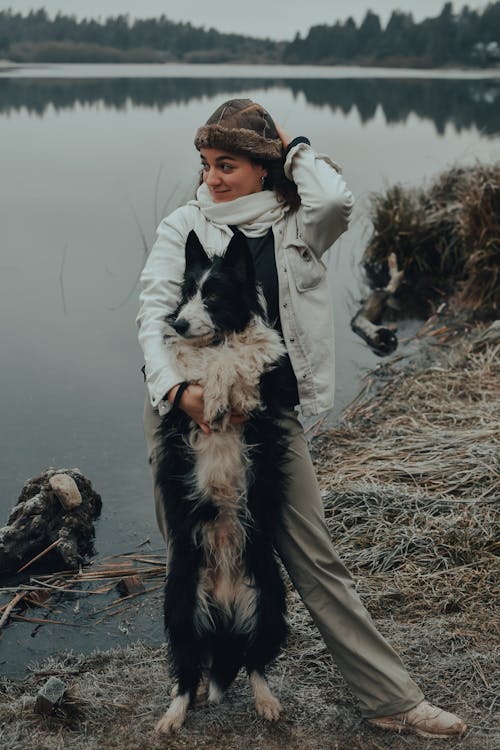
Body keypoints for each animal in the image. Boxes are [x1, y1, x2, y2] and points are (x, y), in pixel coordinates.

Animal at [155, 229, 290, 736]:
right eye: (187, 292)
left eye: (212, 296)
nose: (176, 322)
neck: (219, 334)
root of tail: (225, 600)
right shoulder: (180, 384)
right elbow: (199, 363)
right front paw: (211, 397)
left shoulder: (264, 380)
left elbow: (236, 358)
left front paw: (221, 393)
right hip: (180, 606)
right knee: (187, 670)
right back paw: (174, 714)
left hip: (270, 602)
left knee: (255, 663)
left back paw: (267, 703)